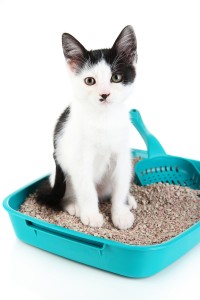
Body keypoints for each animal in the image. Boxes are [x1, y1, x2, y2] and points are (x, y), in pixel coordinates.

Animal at [37, 25, 138, 230]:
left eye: (116, 77)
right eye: (90, 81)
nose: (104, 94)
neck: (104, 119)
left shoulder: (122, 156)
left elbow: (120, 186)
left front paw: (121, 214)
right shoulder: (80, 159)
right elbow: (86, 189)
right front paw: (91, 215)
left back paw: (129, 200)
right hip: (60, 171)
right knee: (69, 193)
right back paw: (73, 205)